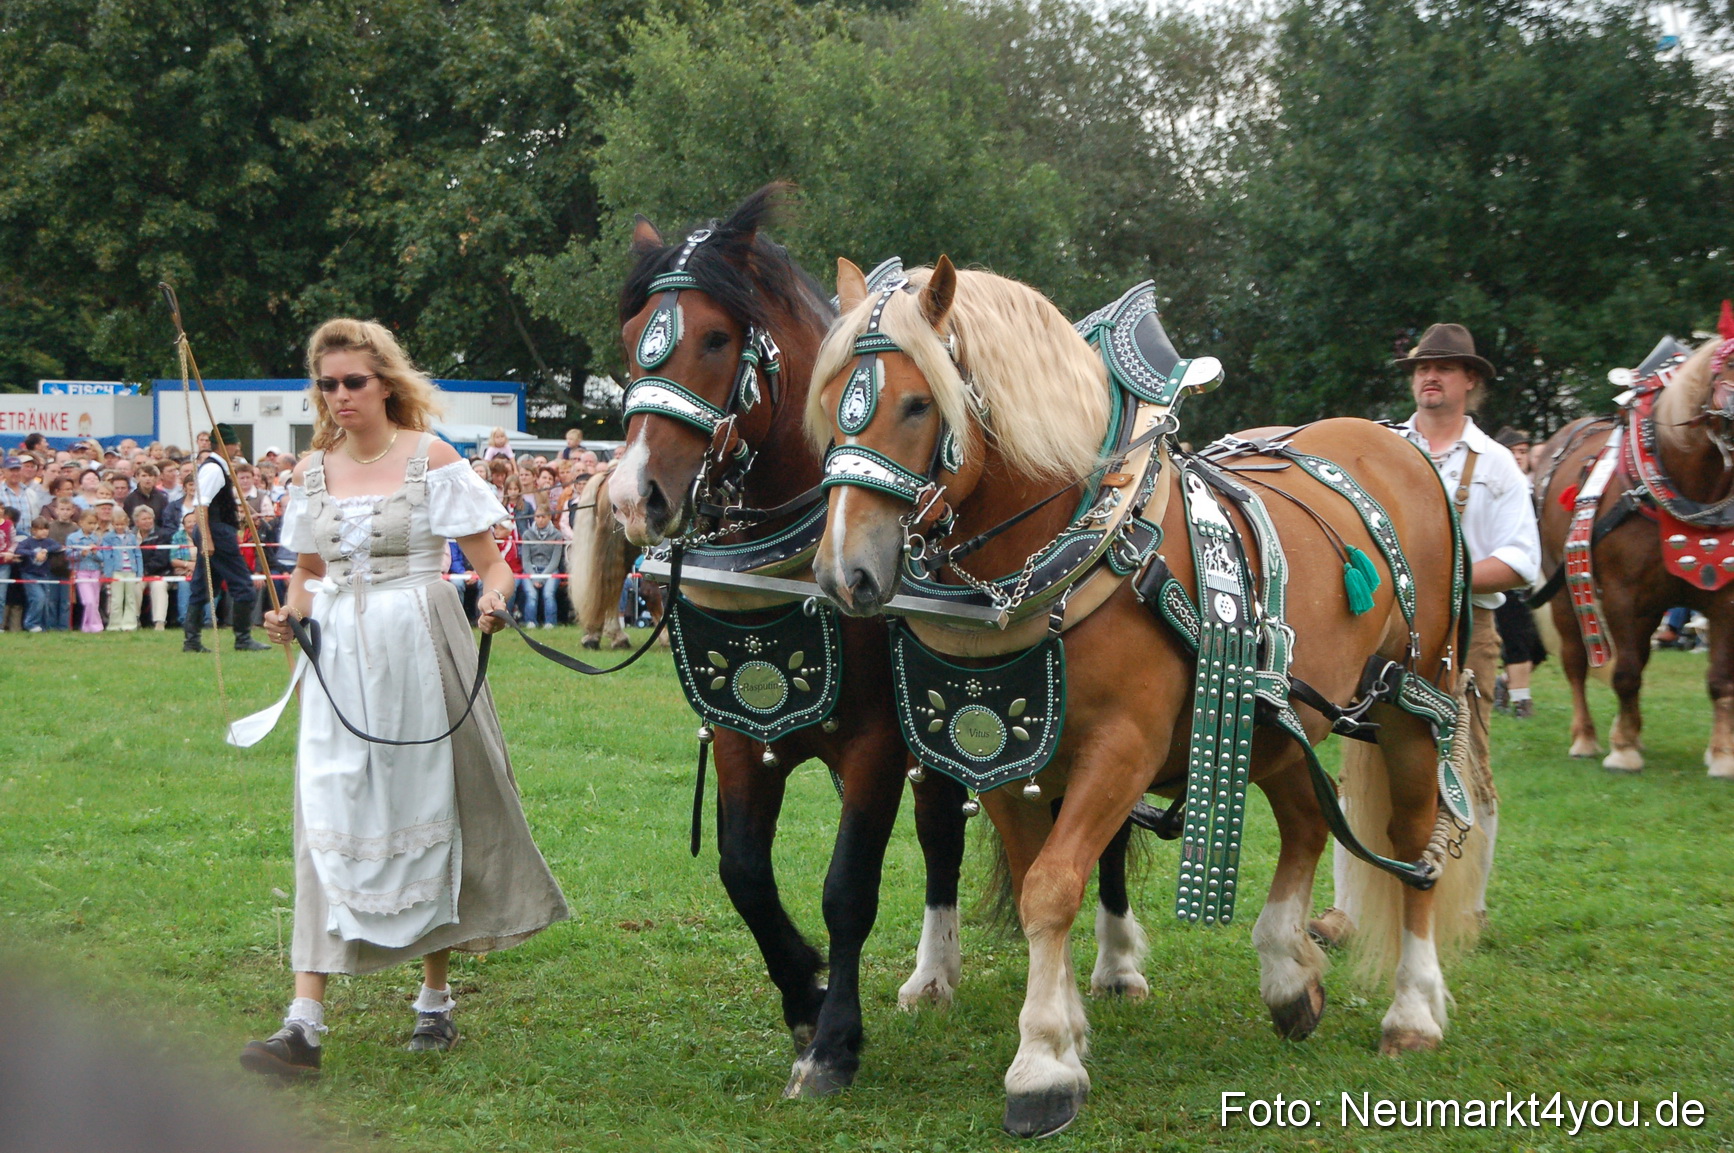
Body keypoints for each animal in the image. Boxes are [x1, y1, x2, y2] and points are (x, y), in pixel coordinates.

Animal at [605, 188, 1154, 1098]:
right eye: (630, 337)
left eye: (715, 337)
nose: (631, 497)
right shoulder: (740, 729)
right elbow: (743, 870)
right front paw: (804, 992)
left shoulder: (875, 740)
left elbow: (848, 887)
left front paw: (833, 1041)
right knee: (940, 833)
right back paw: (933, 973)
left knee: (1099, 837)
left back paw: (1116, 963)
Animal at [807, 257, 1490, 1137]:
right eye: (831, 403)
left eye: (919, 403)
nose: (842, 573)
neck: (1081, 545)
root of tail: (1404, 448)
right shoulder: (1005, 759)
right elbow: (1036, 878)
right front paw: (1067, 1028)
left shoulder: (1122, 750)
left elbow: (1053, 885)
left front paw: (1040, 1064)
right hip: (1274, 714)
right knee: (1309, 819)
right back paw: (1287, 972)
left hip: (1412, 699)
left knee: (1412, 843)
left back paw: (1413, 1009)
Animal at [1532, 335, 1734, 778]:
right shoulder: (1622, 595)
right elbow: (1623, 673)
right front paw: (1622, 752)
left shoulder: (1725, 599)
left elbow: (1720, 679)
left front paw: (1722, 755)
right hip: (1565, 592)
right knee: (1576, 661)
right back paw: (1586, 738)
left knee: (1639, 654)